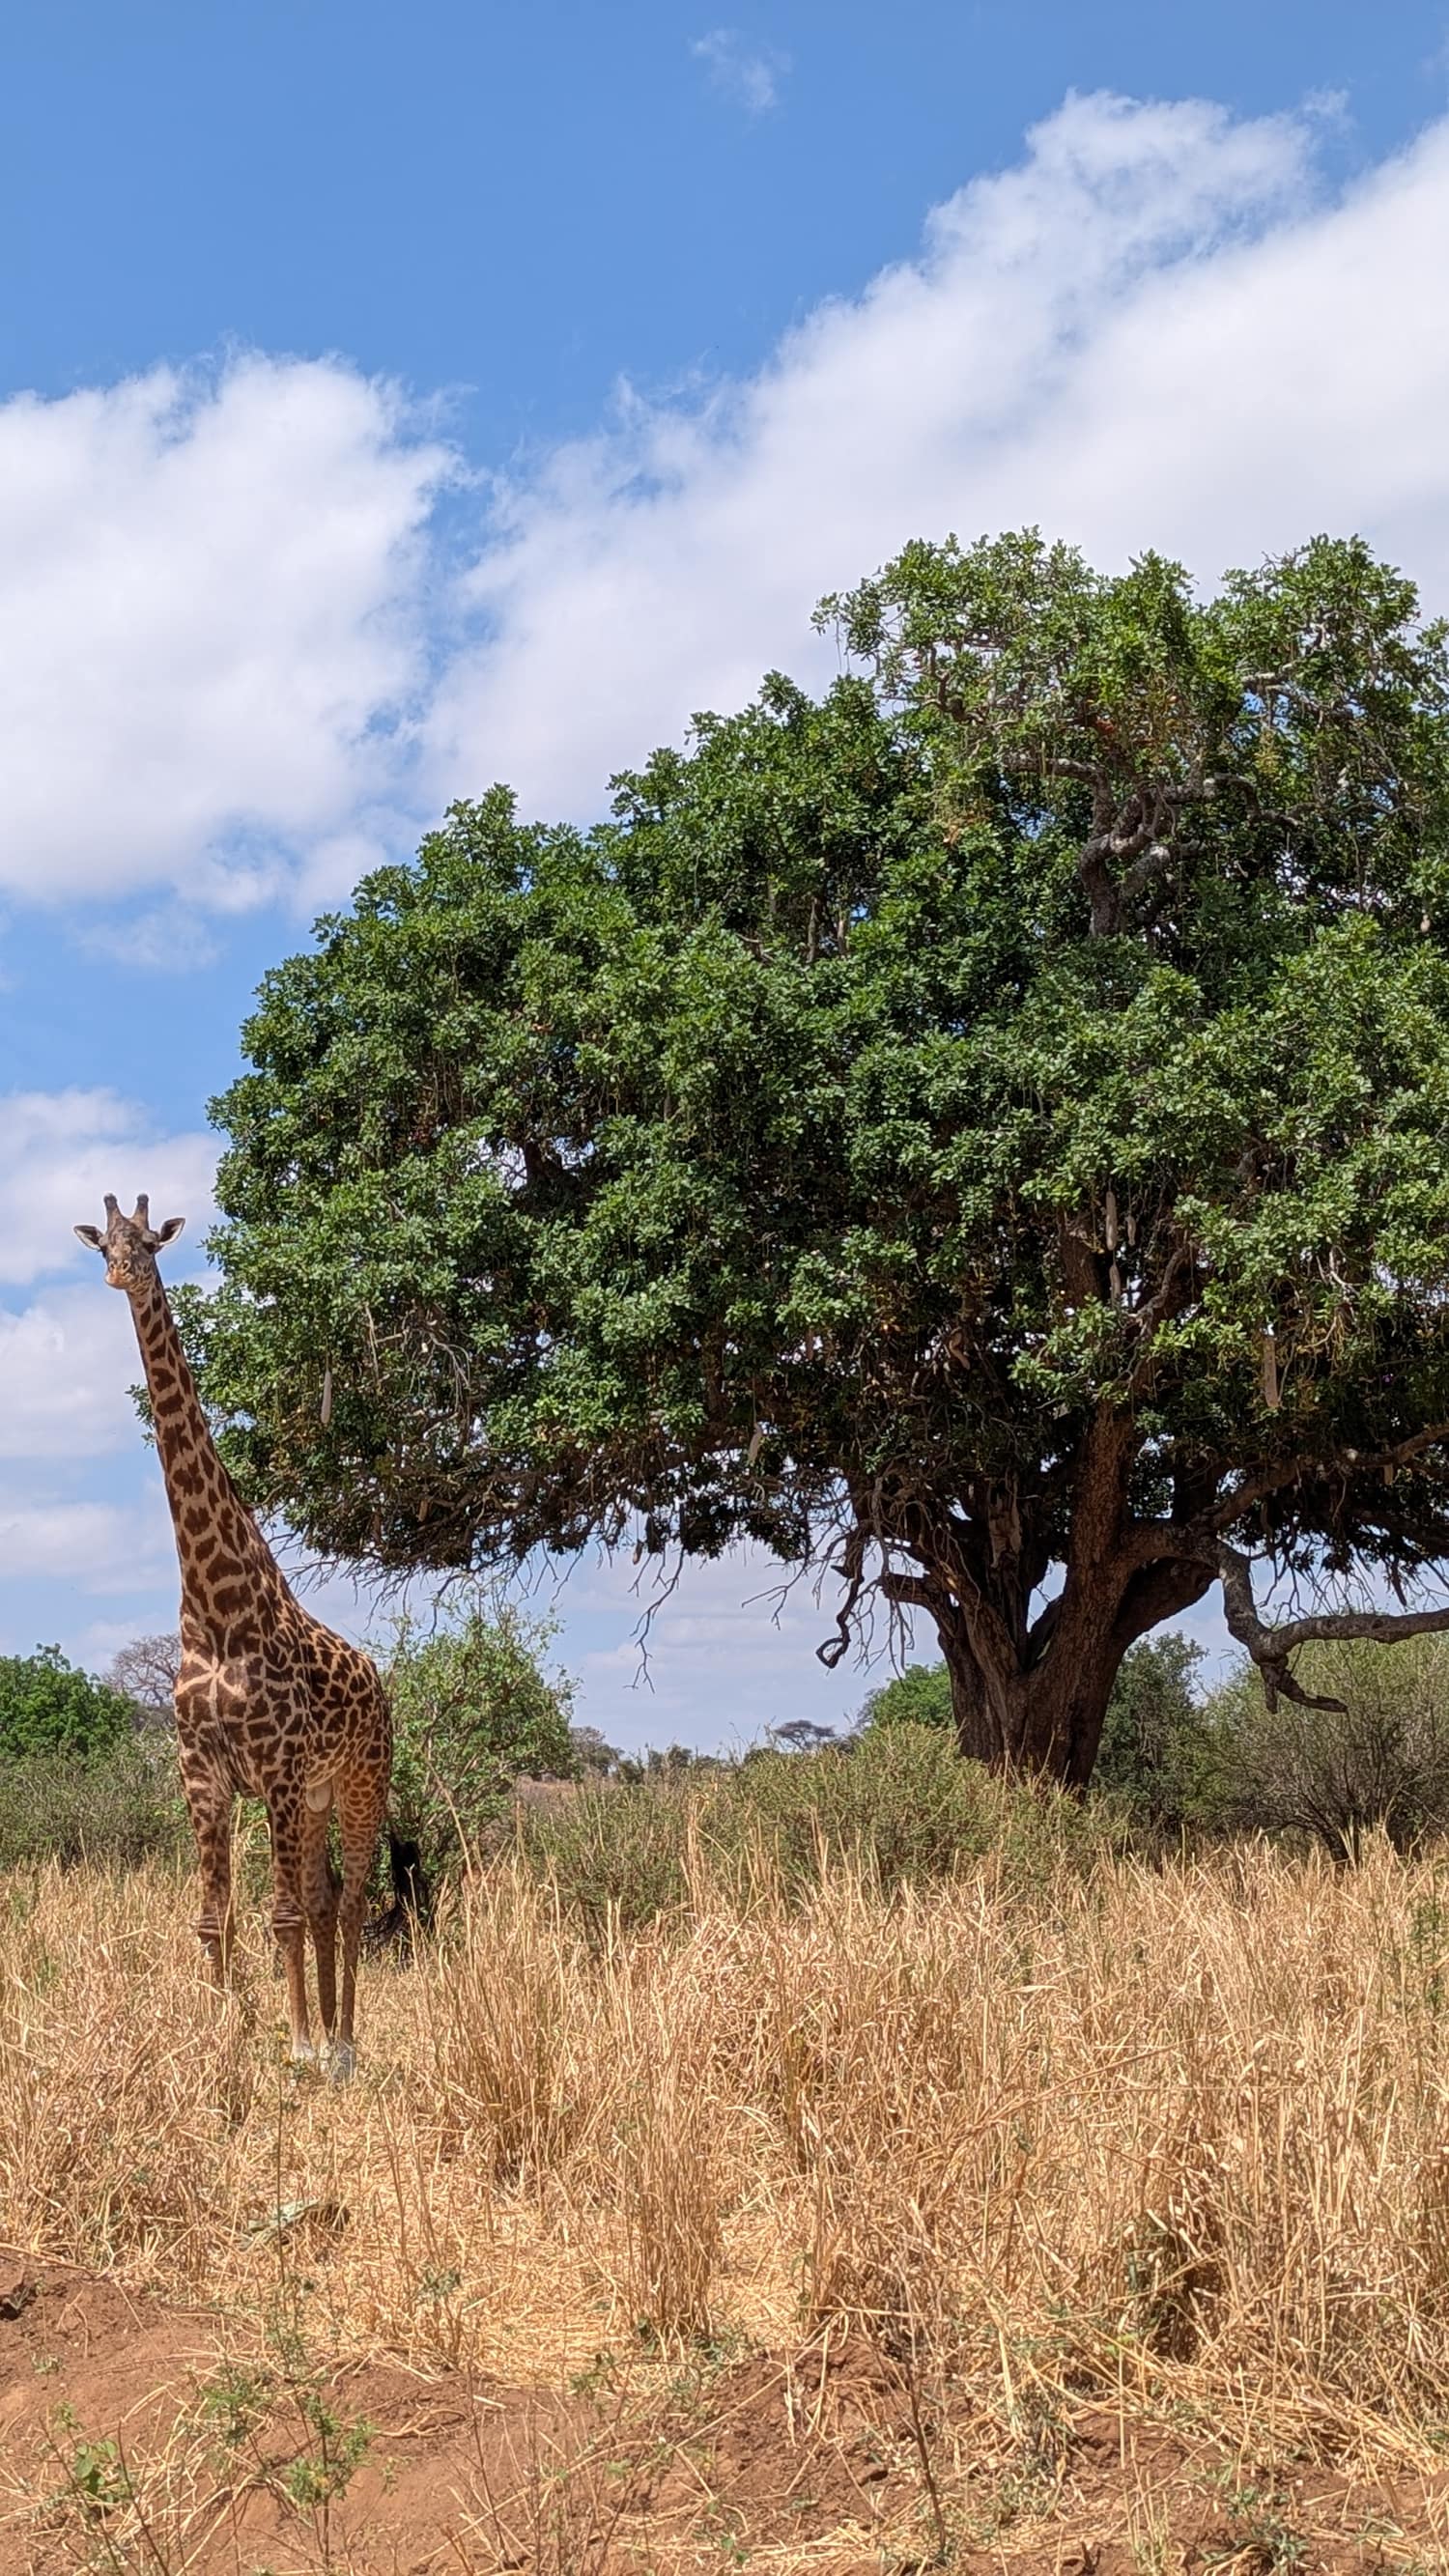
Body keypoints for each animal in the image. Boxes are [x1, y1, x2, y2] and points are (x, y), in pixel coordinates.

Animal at [75, 1193, 391, 2075]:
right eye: (102, 1244)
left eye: (150, 1243)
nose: (120, 1276)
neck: (216, 1609)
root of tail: (381, 1680)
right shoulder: (204, 1776)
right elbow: (213, 1917)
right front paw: (226, 2032)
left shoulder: (275, 1768)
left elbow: (278, 1913)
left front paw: (298, 2043)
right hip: (317, 1796)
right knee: (325, 1899)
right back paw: (329, 2032)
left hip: (363, 1781)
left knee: (353, 1899)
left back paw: (342, 2042)